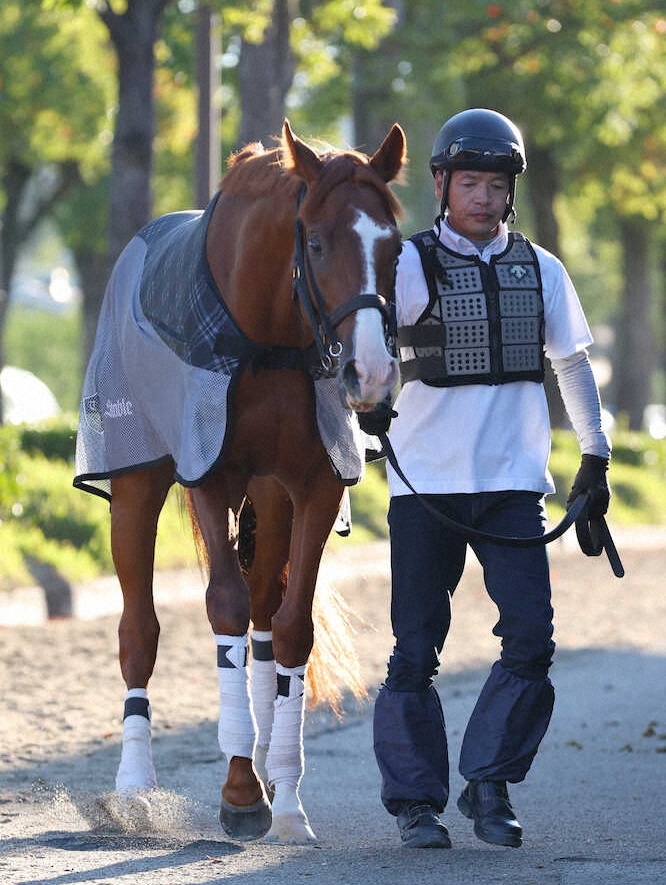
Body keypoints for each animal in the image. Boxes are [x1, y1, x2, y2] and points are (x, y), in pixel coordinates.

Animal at [74, 120, 406, 843]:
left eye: (394, 246)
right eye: (316, 241)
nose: (369, 372)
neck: (267, 339)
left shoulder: (312, 483)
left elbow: (290, 626)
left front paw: (283, 795)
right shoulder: (209, 470)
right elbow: (222, 604)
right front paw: (239, 793)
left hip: (271, 496)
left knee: (263, 614)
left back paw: (263, 757)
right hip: (137, 483)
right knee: (139, 627)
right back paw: (135, 787)